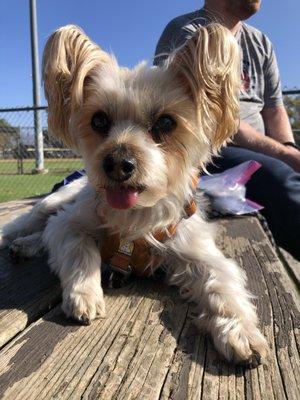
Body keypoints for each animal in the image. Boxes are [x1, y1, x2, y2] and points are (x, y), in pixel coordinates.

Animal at [0, 24, 268, 362]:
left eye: (166, 122)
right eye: (98, 120)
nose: (116, 163)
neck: (134, 216)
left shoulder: (195, 246)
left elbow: (222, 280)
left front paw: (242, 333)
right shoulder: (69, 223)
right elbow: (78, 249)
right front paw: (84, 294)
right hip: (53, 203)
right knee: (30, 223)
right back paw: (21, 242)